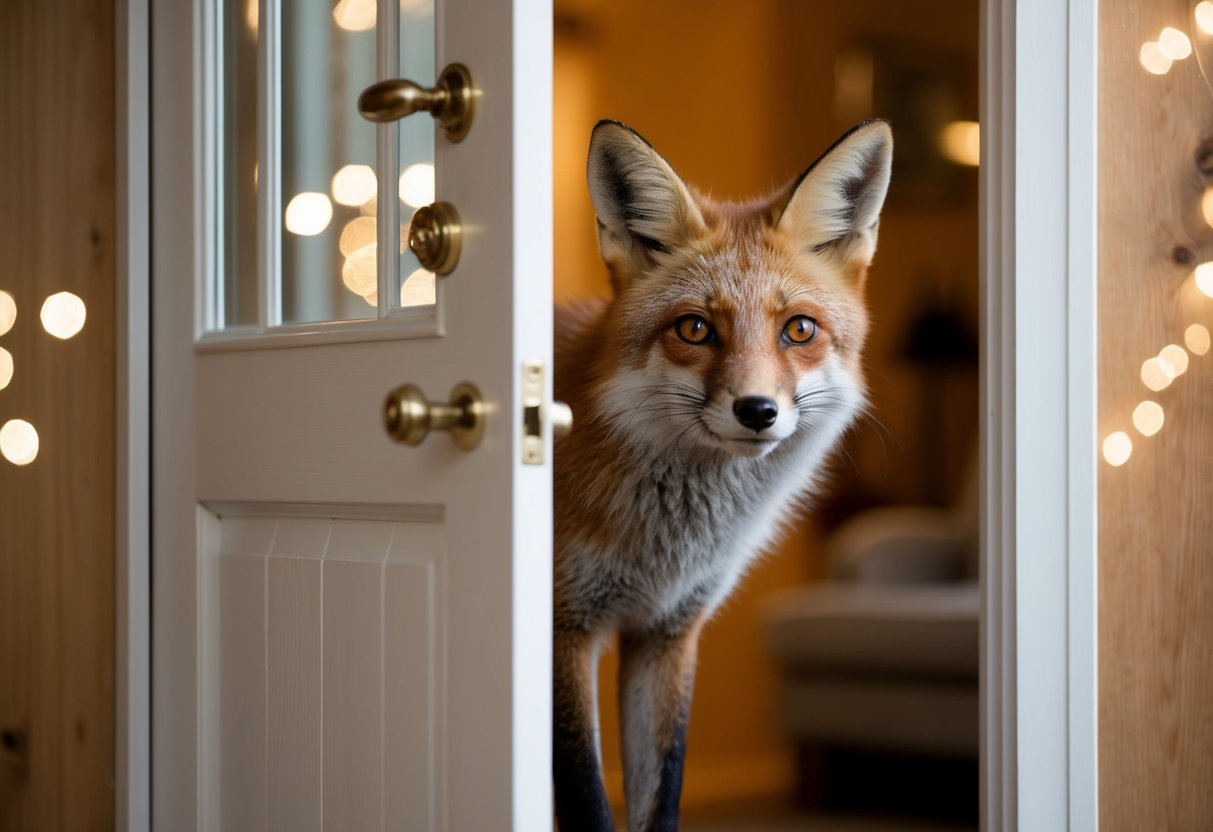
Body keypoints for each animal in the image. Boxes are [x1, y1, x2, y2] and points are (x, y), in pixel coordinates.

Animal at [552, 118, 893, 832]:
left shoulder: (669, 631)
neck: (663, 548)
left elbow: (663, 793)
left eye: (799, 330)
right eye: (695, 328)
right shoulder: (564, 629)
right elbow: (589, 799)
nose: (757, 411)